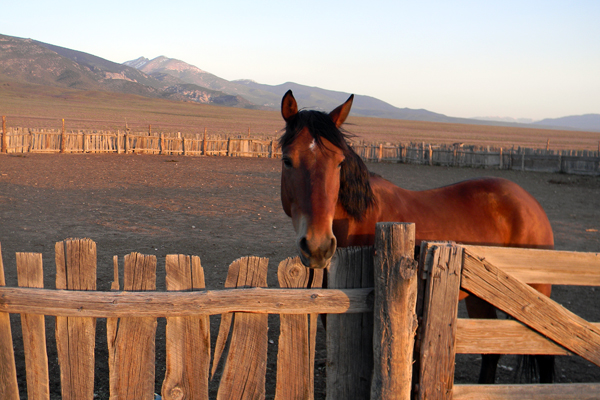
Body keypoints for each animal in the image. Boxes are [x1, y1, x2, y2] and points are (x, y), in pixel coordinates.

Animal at [278, 89, 556, 382]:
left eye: (339, 163)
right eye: (287, 160)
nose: (318, 246)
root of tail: (527, 201)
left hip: (539, 292)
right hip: (481, 296)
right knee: (491, 350)